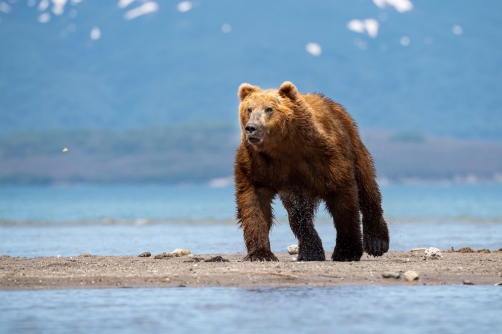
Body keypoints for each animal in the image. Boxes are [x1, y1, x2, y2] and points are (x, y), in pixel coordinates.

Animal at [233, 81, 390, 260]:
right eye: (249, 109)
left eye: (269, 109)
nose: (251, 127)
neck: (284, 147)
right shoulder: (258, 164)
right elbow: (253, 203)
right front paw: (260, 254)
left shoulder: (325, 156)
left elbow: (344, 199)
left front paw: (346, 251)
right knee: (299, 215)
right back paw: (310, 251)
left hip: (353, 142)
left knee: (367, 184)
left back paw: (377, 243)